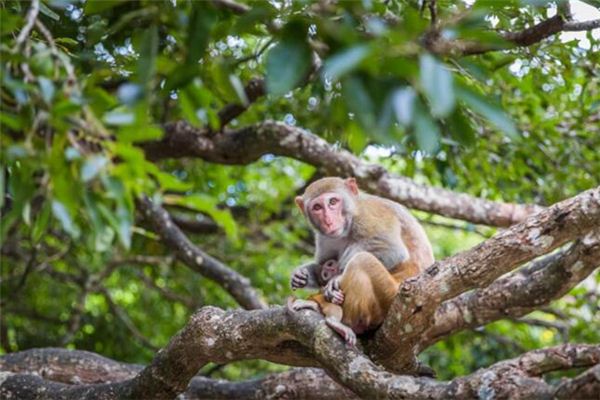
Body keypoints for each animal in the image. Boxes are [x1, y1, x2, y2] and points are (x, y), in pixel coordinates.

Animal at [288, 177, 434, 342]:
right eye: (317, 207)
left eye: (333, 202)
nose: (328, 221)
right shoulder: (323, 237)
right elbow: (321, 264)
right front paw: (302, 274)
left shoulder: (370, 214)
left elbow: (393, 251)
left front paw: (336, 279)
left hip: (389, 295)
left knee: (361, 259)